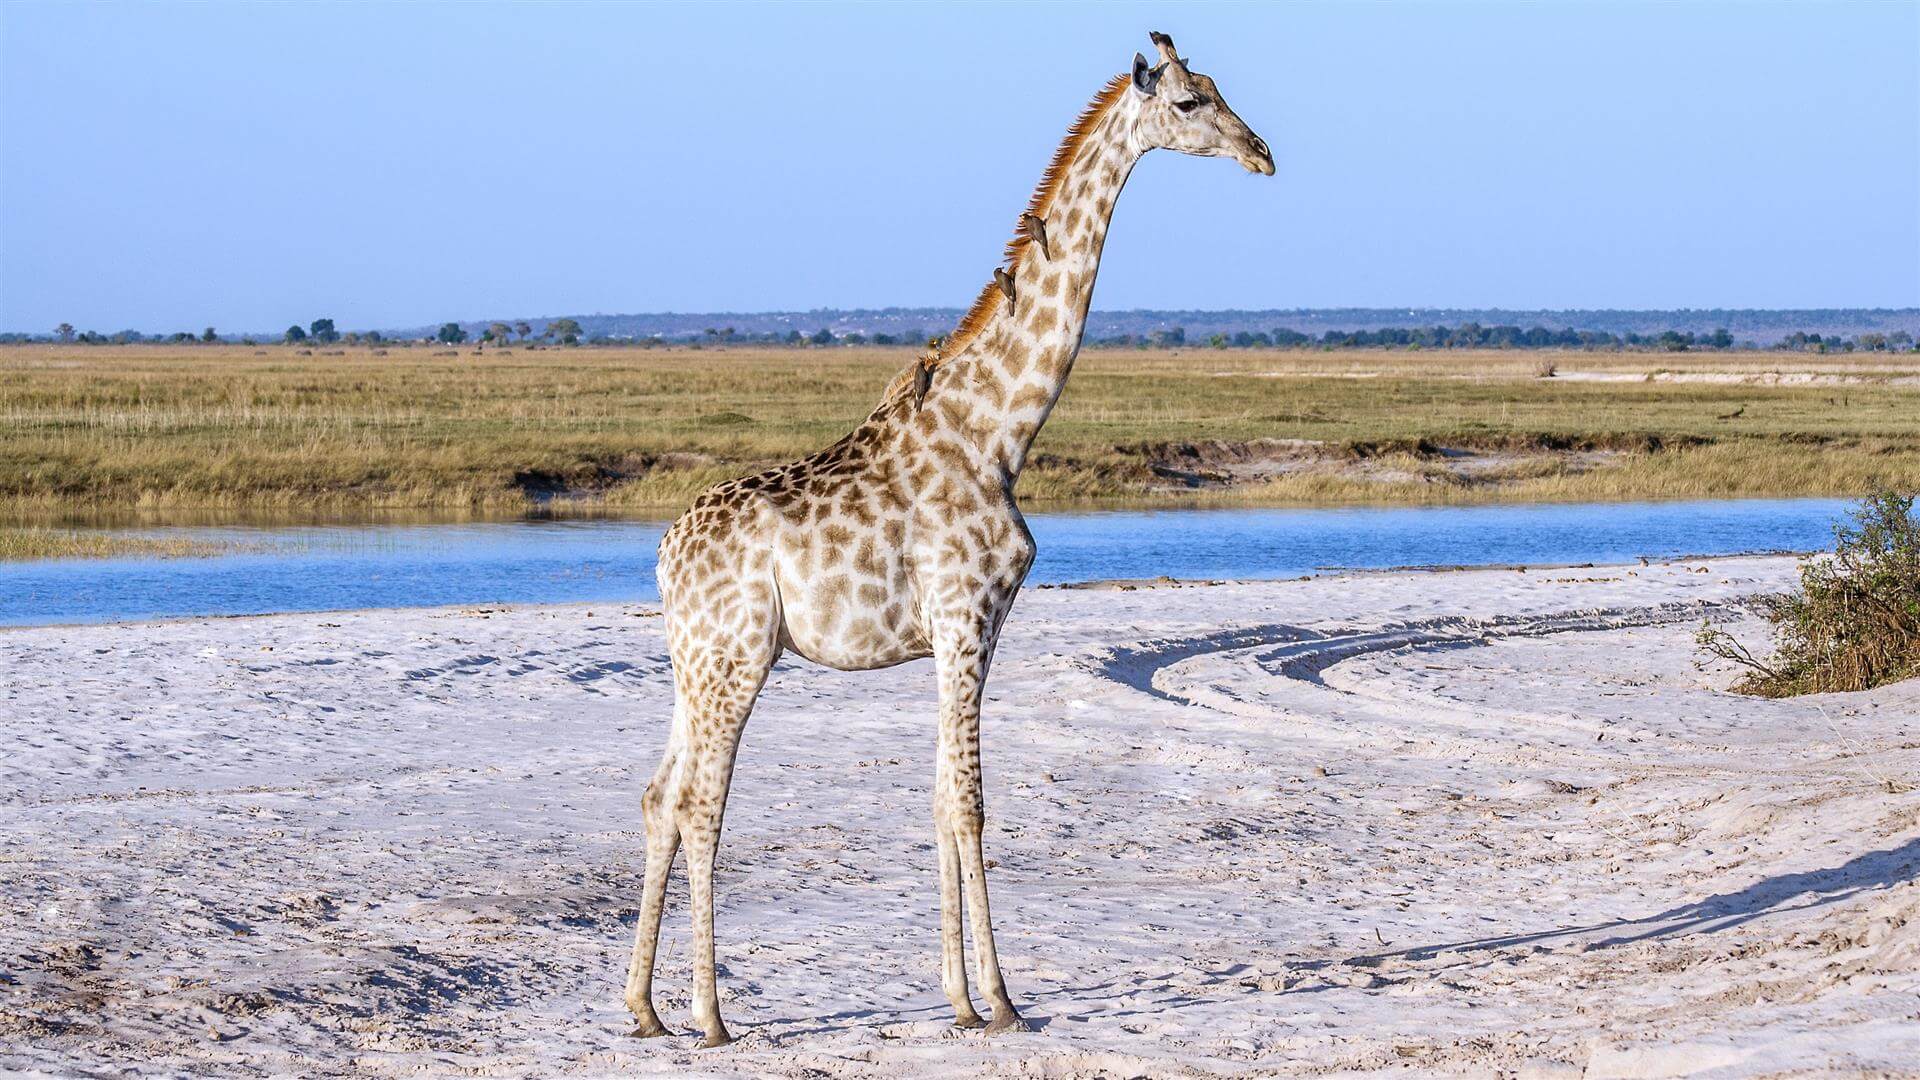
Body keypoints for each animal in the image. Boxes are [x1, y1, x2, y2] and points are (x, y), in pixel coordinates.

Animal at [622, 31, 1267, 1045]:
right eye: (1193, 102)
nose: (1262, 152)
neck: (998, 432)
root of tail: (662, 556)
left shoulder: (972, 632)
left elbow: (937, 797)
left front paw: (959, 996)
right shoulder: (966, 619)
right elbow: (970, 801)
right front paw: (1001, 1001)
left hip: (693, 662)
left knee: (658, 795)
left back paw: (643, 1006)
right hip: (738, 658)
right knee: (700, 803)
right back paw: (710, 1013)